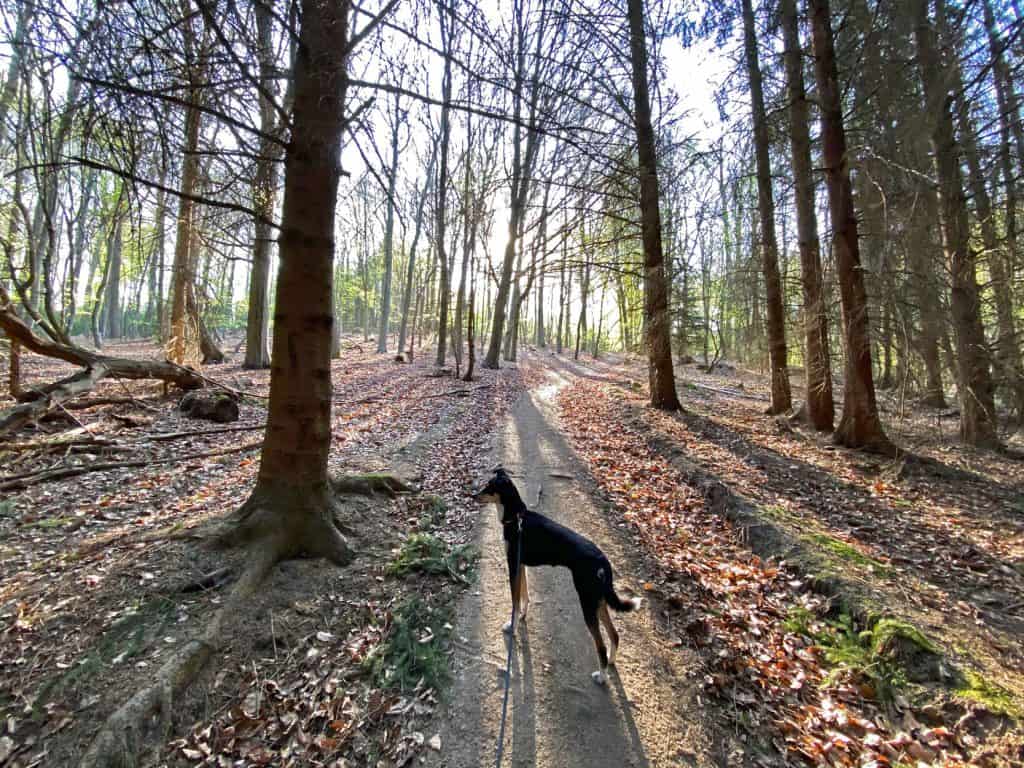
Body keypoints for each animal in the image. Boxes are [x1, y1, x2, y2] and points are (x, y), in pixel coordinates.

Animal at [471, 468, 638, 684]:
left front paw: (512, 626)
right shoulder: (521, 566)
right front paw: (523, 616)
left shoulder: (513, 565)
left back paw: (601, 676)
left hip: (587, 602)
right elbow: (525, 595)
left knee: (600, 645)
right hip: (597, 599)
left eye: (490, 487)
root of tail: (603, 560)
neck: (516, 518)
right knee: (615, 635)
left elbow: (515, 601)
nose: (473, 496)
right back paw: (610, 662)